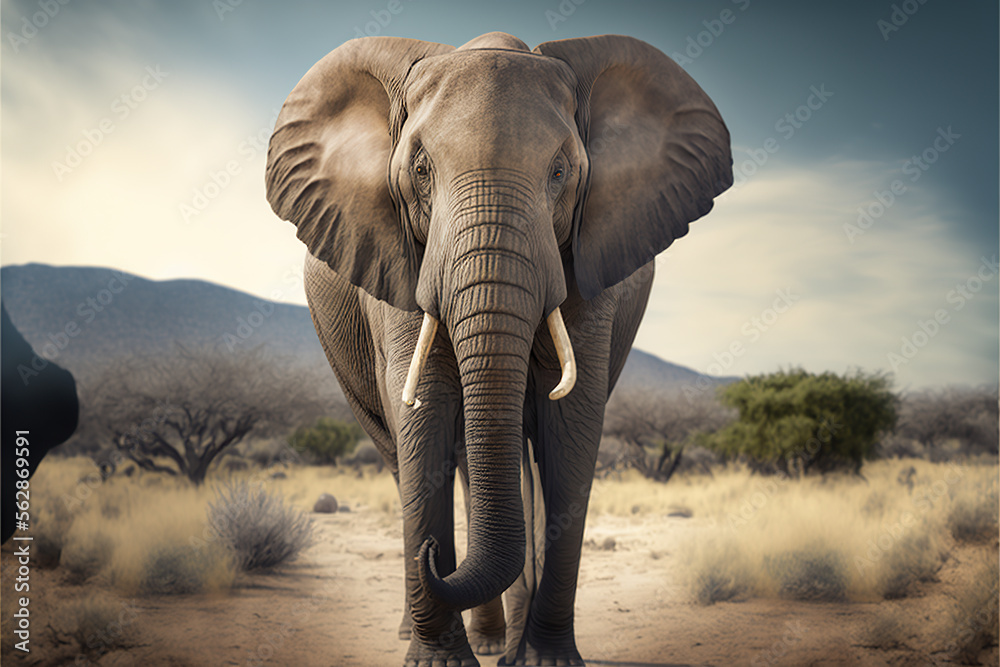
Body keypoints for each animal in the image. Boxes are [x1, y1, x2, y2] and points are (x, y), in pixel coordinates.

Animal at [266, 32, 731, 666]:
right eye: (420, 170)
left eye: (560, 171)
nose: (432, 558)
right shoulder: (400, 258)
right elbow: (427, 412)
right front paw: (438, 659)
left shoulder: (588, 264)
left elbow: (570, 424)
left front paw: (549, 659)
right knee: (412, 456)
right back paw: (454, 633)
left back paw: (501, 643)